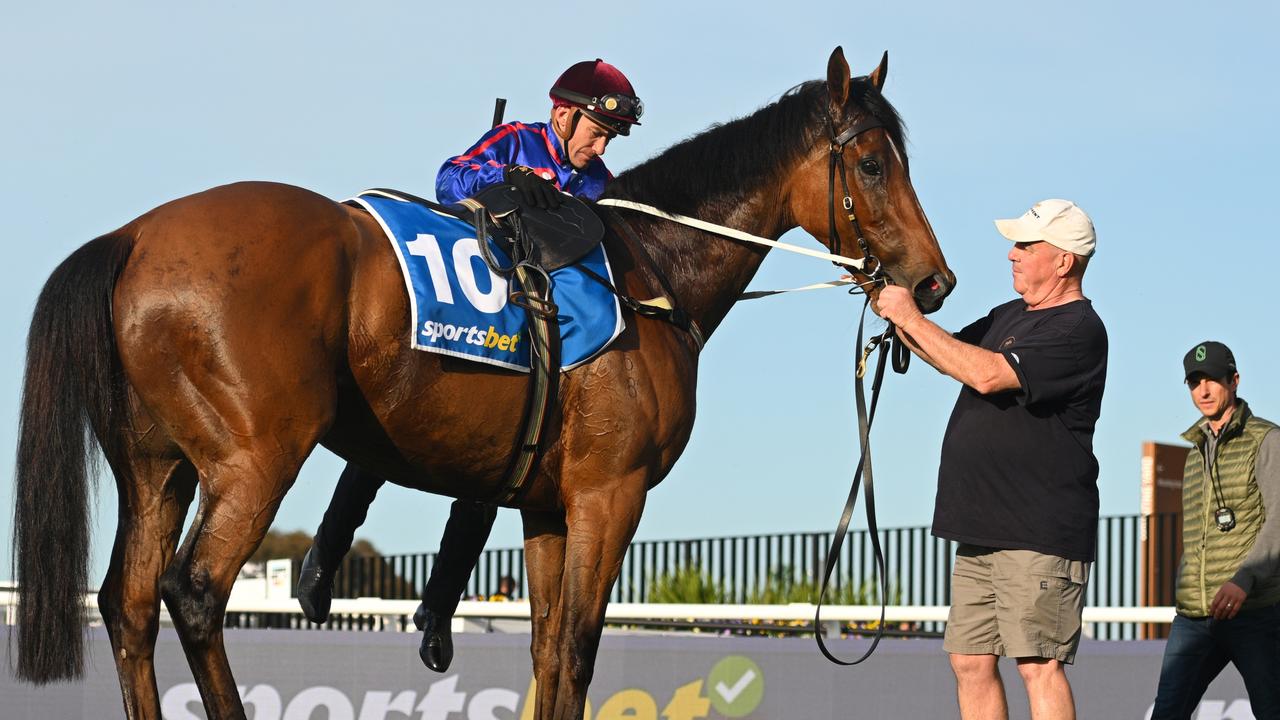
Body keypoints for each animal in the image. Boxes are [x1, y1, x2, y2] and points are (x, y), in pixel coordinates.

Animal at [10, 47, 952, 712]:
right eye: (874, 165)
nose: (934, 282)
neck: (649, 272)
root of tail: (133, 235)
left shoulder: (547, 505)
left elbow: (545, 652)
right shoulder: (610, 494)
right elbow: (576, 650)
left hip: (157, 466)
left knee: (129, 605)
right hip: (253, 459)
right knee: (196, 593)